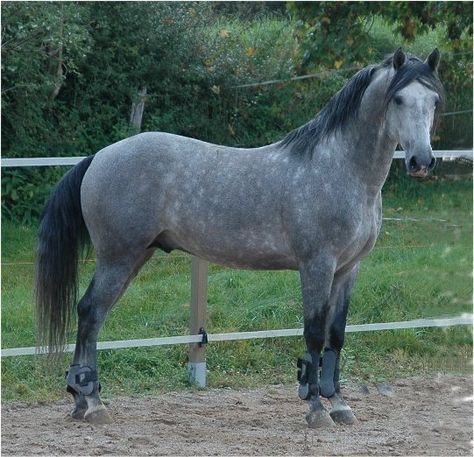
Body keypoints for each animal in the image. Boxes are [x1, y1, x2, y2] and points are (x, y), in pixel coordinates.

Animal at [35, 50, 442, 428]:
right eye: (398, 99)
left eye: (434, 101)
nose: (422, 161)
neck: (339, 169)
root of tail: (99, 156)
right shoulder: (317, 265)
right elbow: (313, 334)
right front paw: (316, 410)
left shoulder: (348, 269)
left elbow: (336, 336)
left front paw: (340, 405)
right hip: (118, 257)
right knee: (90, 312)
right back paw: (93, 405)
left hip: (135, 257)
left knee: (94, 315)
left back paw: (82, 401)